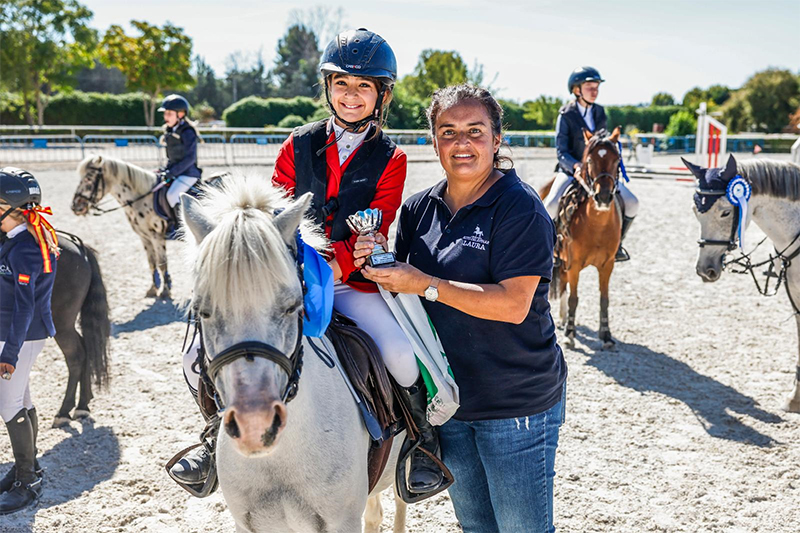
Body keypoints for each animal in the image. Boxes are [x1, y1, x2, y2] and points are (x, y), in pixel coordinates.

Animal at [72, 156, 172, 300]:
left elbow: (162, 264)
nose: (75, 205)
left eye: (88, 178)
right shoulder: (145, 237)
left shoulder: (156, 236)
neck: (142, 198)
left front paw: (164, 292)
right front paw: (153, 290)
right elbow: (152, 263)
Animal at [536, 125, 624, 350]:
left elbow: (604, 300)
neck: (597, 225)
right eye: (590, 160)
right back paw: (564, 321)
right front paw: (569, 334)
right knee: (565, 286)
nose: (604, 197)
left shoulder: (607, 265)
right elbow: (574, 298)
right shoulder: (574, 263)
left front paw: (606, 336)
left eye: (616, 159)